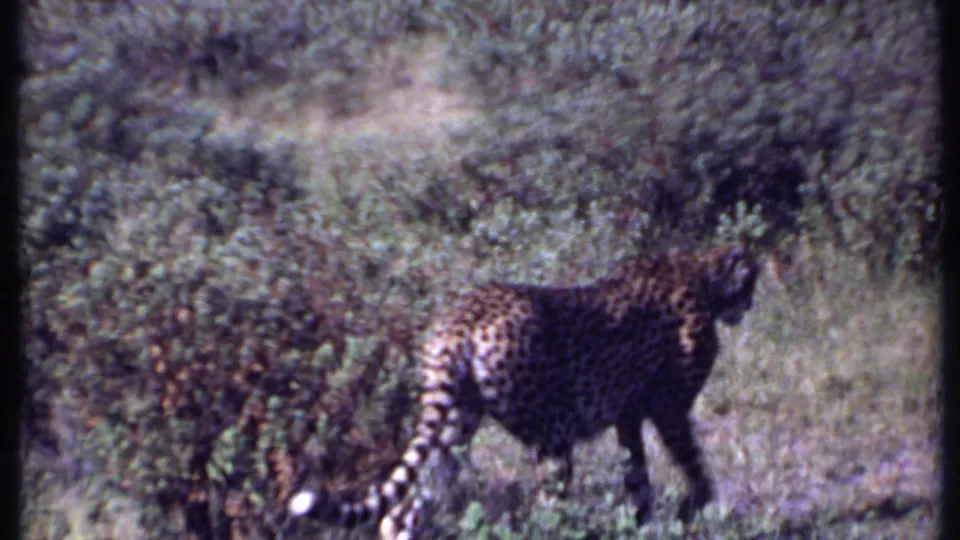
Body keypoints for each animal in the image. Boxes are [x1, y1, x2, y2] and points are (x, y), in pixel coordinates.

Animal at [288, 242, 760, 539]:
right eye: (751, 279)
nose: (751, 304)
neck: (698, 269)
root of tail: (464, 315)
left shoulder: (628, 418)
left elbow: (638, 482)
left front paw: (648, 525)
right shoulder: (668, 410)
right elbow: (696, 472)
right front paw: (695, 510)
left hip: (456, 427)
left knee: (403, 512)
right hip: (552, 439)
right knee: (550, 516)